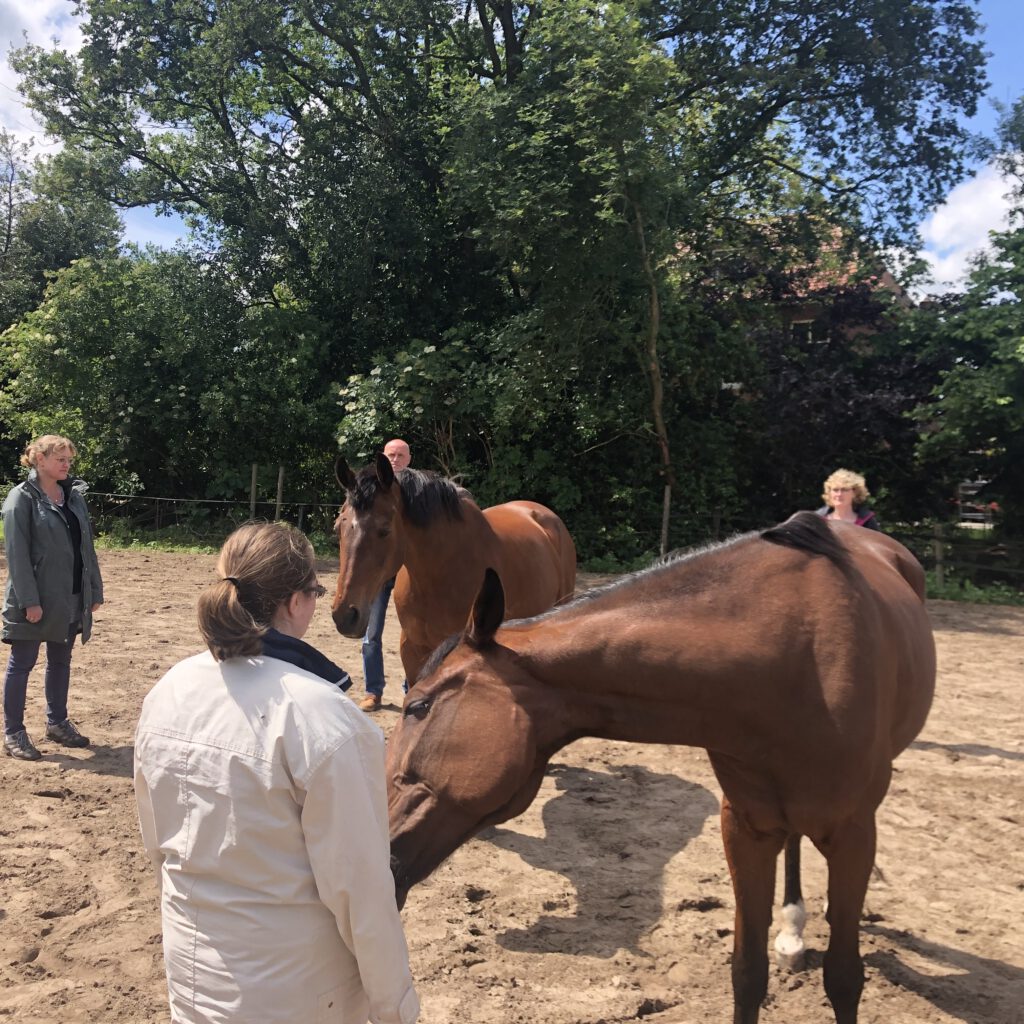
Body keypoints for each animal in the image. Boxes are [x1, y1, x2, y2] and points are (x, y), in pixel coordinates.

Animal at [385, 516, 937, 1024]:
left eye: (419, 706)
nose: (379, 854)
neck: (793, 655)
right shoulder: (745, 828)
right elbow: (748, 972)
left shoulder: (854, 836)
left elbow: (843, 978)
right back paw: (792, 929)